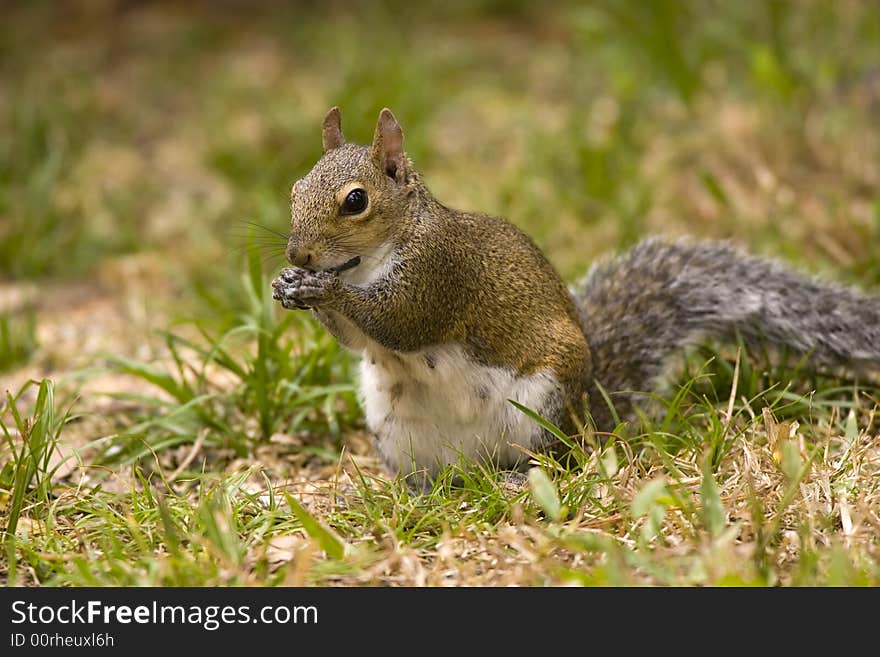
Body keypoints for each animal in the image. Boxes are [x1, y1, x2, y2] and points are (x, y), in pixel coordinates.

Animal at [272, 107, 880, 484]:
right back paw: (413, 490)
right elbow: (359, 341)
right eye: (295, 189)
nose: (298, 256)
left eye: (356, 201)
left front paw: (325, 289)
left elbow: (398, 321)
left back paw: (520, 479)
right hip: (395, 428)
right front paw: (291, 287)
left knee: (554, 461)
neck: (371, 260)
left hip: (541, 406)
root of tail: (590, 411)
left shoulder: (441, 274)